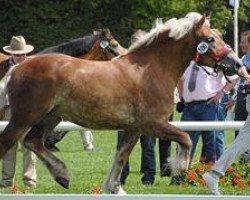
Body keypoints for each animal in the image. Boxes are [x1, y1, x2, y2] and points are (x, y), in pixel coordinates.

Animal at [0, 12, 244, 194]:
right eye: (210, 39)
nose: (237, 64)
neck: (151, 70)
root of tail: (17, 67)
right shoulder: (154, 124)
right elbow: (186, 139)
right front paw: (177, 167)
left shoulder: (134, 128)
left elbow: (121, 155)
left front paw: (114, 187)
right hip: (24, 118)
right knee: (10, 143)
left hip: (51, 117)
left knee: (32, 142)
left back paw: (62, 175)